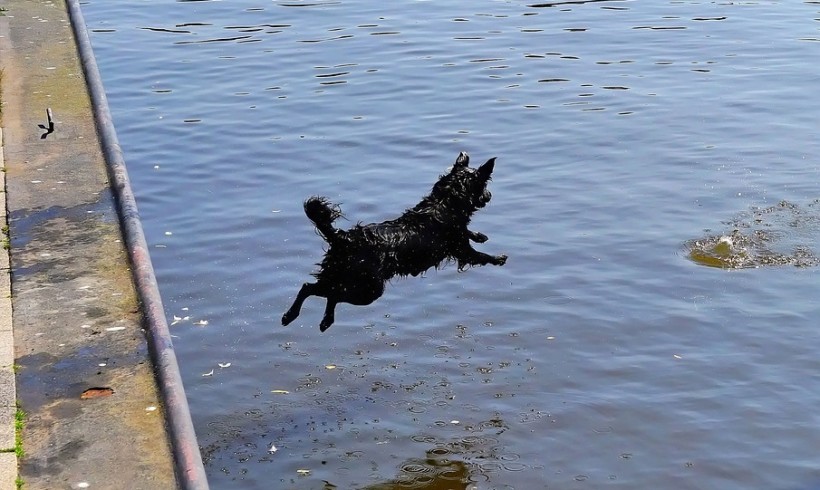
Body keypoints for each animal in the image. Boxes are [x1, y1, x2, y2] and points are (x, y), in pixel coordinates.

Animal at [286, 151, 510, 332]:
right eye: (485, 186)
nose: (489, 195)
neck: (444, 203)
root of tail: (343, 238)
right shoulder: (462, 250)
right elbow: (480, 255)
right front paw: (498, 258)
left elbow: (469, 232)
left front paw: (480, 235)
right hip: (368, 288)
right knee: (326, 292)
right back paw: (297, 316)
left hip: (343, 276)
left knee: (316, 288)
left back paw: (314, 319)